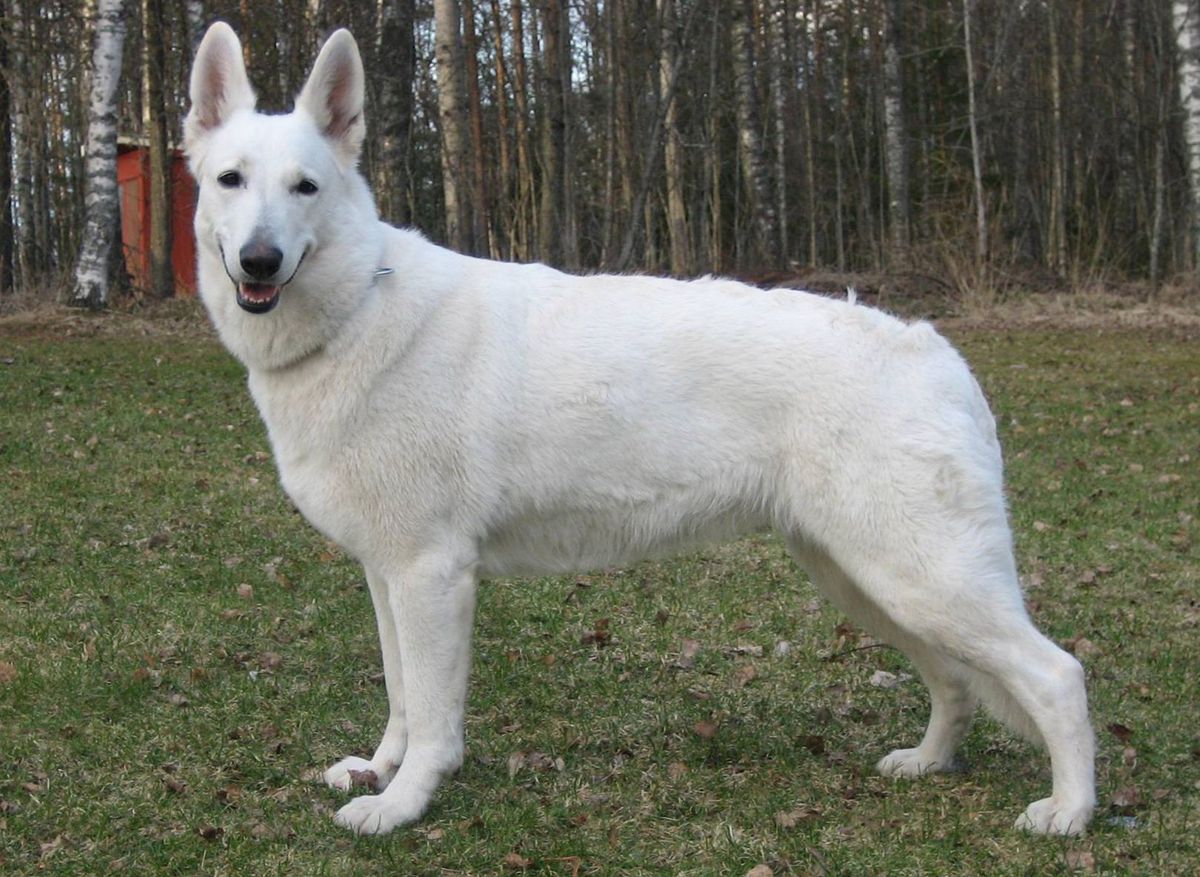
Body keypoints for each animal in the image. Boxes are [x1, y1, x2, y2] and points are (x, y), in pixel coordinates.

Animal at [184, 23, 1099, 839]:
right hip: (865, 579)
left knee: (1056, 674)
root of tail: (937, 351)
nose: (259, 262)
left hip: (919, 577)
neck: (356, 313)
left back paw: (1070, 812)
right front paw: (379, 769)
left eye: (306, 188)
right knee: (955, 680)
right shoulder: (387, 574)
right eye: (230, 180)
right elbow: (402, 696)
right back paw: (929, 761)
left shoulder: (432, 575)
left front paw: (404, 803)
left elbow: (436, 717)